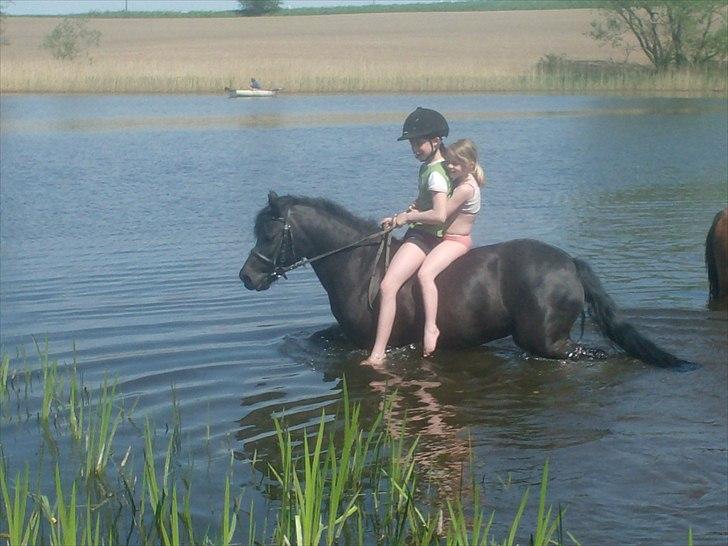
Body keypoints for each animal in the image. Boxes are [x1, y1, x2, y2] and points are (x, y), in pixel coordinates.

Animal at [239, 192, 695, 370]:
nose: (247, 277)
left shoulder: (366, 340)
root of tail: (568, 263)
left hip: (545, 341)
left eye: (269, 234)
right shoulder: (343, 335)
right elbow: (317, 338)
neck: (357, 265)